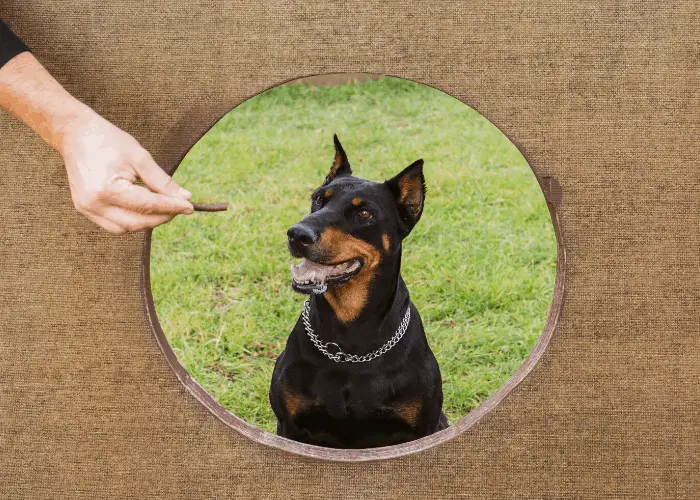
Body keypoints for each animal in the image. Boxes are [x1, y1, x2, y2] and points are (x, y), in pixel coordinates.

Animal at [270, 135, 448, 448]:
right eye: (319, 198)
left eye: (364, 213)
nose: (297, 234)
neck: (349, 343)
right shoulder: (288, 424)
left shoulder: (423, 427)